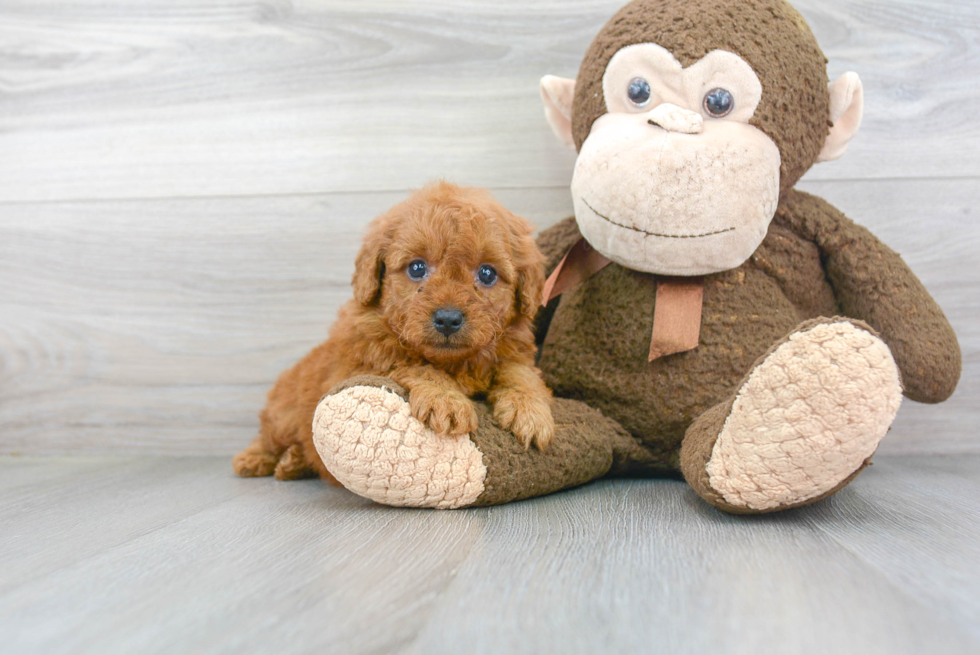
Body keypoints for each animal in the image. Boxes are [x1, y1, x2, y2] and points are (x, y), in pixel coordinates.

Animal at [234, 181, 556, 482]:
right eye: (416, 268)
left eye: (487, 274)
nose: (448, 319)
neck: (454, 364)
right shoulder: (360, 365)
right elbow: (410, 363)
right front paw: (446, 400)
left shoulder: (513, 350)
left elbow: (520, 373)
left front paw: (530, 411)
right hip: (284, 414)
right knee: (269, 436)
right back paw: (256, 459)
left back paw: (294, 462)